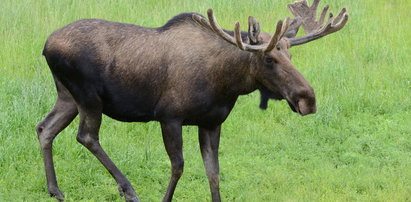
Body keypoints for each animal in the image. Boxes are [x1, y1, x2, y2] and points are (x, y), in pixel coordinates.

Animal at [37, 0, 350, 201]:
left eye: (291, 54)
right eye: (269, 59)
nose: (308, 99)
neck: (225, 84)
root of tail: (45, 45)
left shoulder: (211, 123)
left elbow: (213, 173)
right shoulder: (169, 117)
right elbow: (178, 166)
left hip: (67, 96)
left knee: (45, 128)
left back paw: (55, 190)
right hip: (88, 96)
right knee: (86, 136)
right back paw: (128, 189)